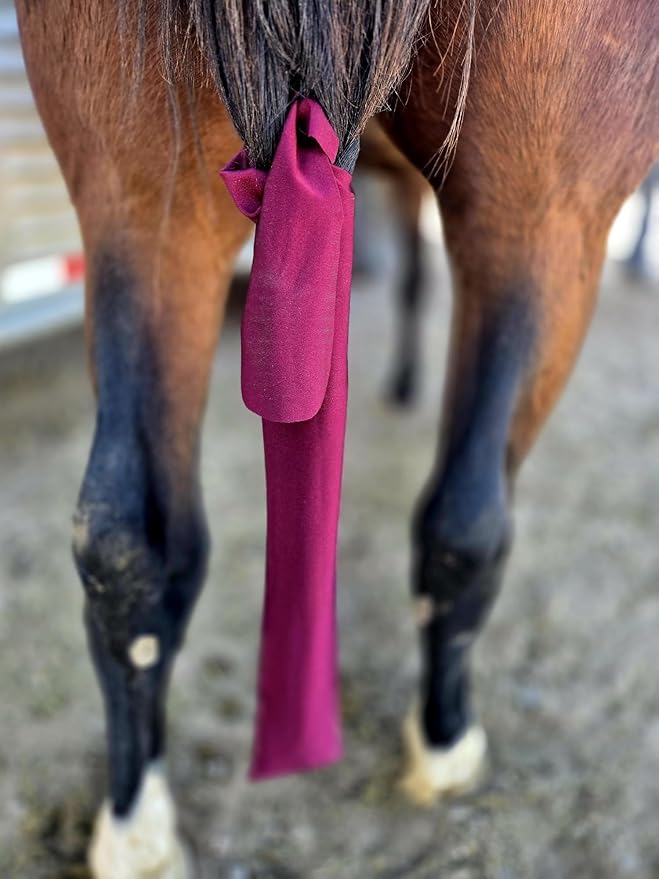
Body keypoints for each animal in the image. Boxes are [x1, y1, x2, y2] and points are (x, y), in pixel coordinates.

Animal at [15, 1, 658, 877]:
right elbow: (417, 282)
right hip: (550, 200)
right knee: (467, 516)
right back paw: (445, 741)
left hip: (133, 179)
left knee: (123, 540)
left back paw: (134, 823)